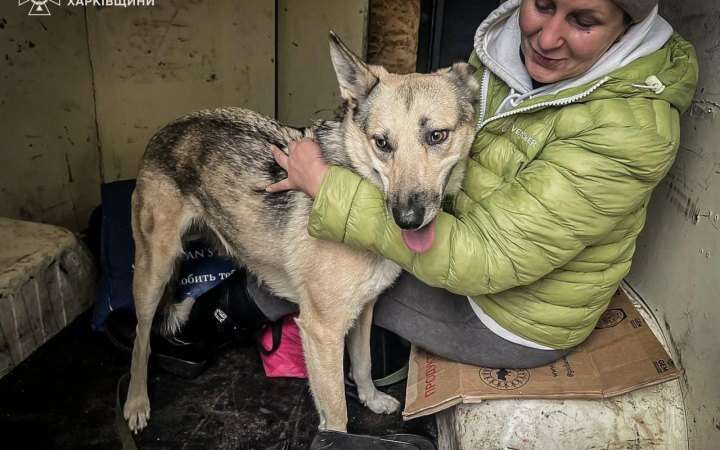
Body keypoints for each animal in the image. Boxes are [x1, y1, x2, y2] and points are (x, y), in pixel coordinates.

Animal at [124, 32, 480, 432]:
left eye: (437, 136)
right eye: (382, 143)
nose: (406, 218)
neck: (358, 188)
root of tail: (169, 127)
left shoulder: (363, 309)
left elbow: (363, 363)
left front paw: (370, 398)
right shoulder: (321, 331)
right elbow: (337, 412)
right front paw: (337, 433)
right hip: (154, 271)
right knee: (140, 337)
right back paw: (136, 401)